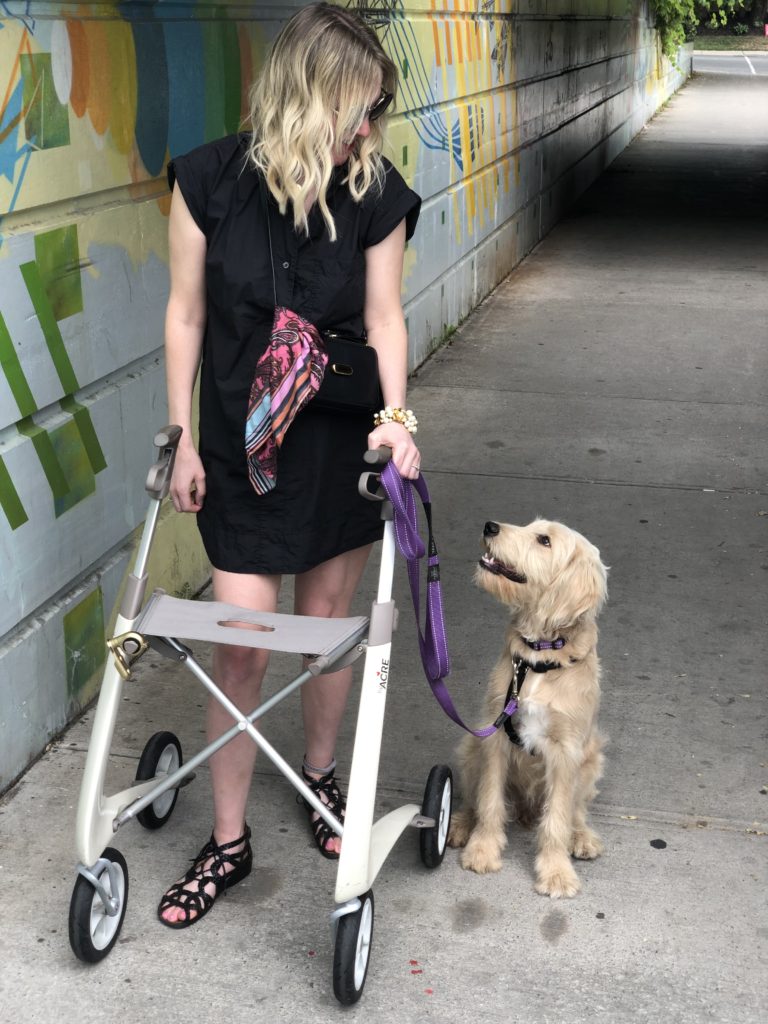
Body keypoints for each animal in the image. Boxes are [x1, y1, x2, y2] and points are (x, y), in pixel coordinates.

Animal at [448, 520, 610, 897]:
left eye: (544, 540)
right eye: (531, 527)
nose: (490, 526)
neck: (541, 656)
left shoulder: (566, 752)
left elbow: (557, 819)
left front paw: (556, 872)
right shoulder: (494, 738)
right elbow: (490, 800)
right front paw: (482, 849)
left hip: (591, 760)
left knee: (576, 812)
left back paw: (581, 837)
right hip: (471, 746)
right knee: (472, 799)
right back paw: (460, 824)